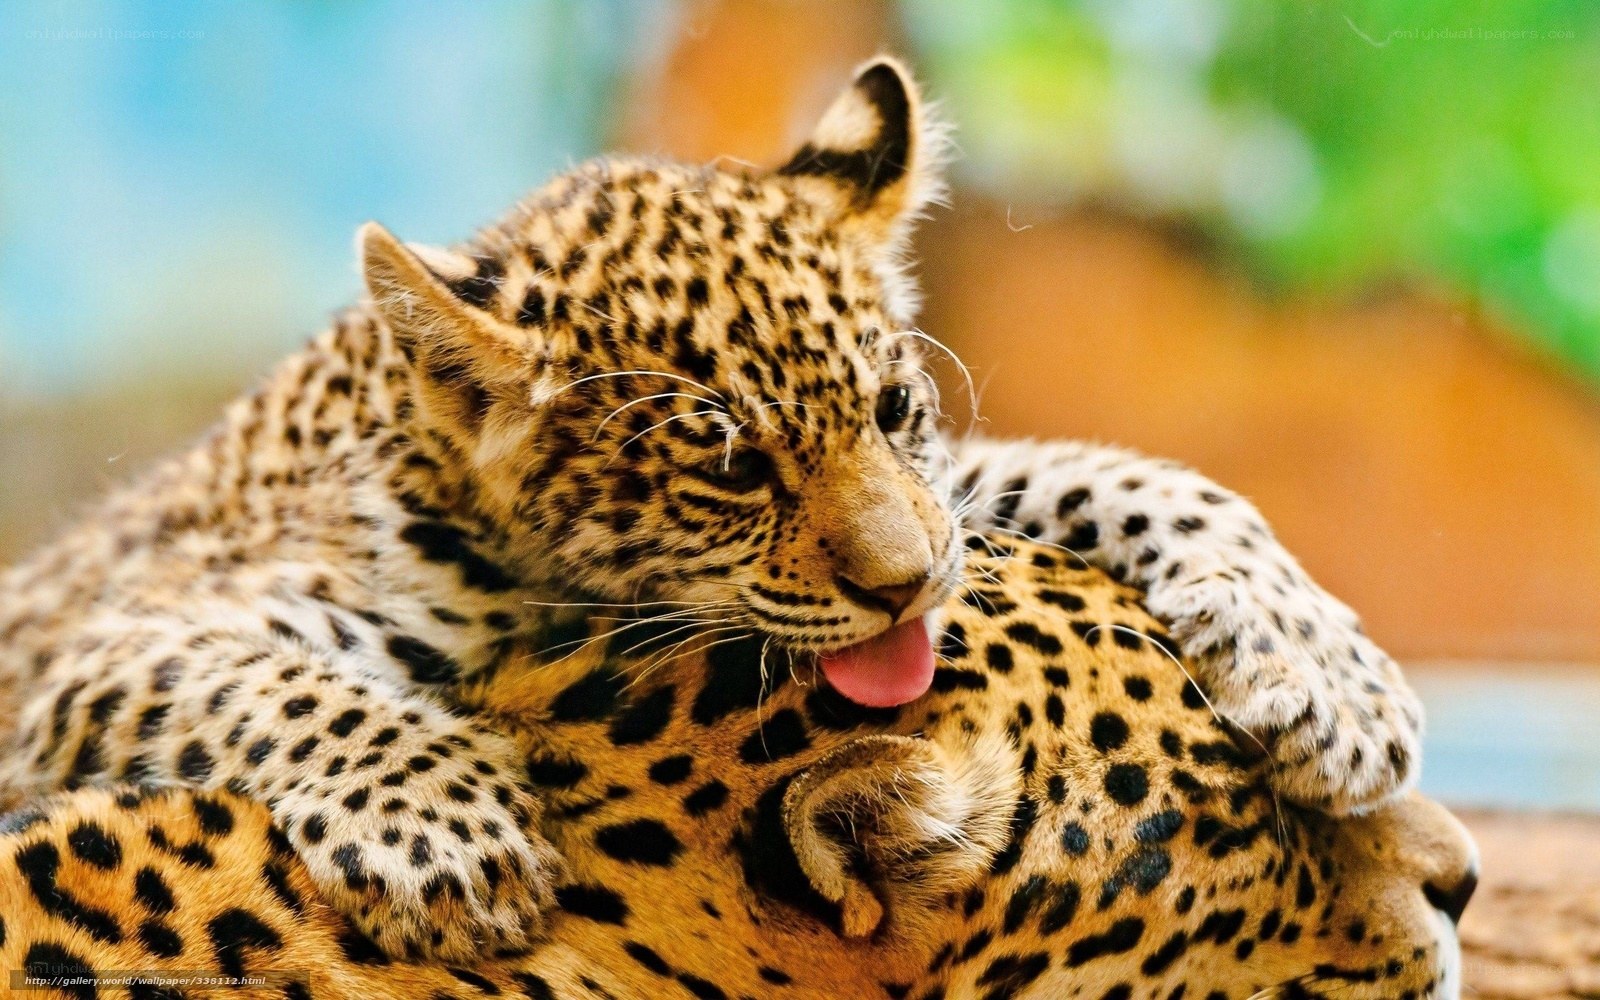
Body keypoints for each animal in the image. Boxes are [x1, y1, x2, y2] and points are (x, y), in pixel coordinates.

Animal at [0, 57, 1422, 964]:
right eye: (732, 469)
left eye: (893, 407)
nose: (906, 590)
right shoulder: (87, 646)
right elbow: (263, 681)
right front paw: (450, 833)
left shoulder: (948, 492)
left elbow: (1112, 472)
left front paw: (1327, 680)